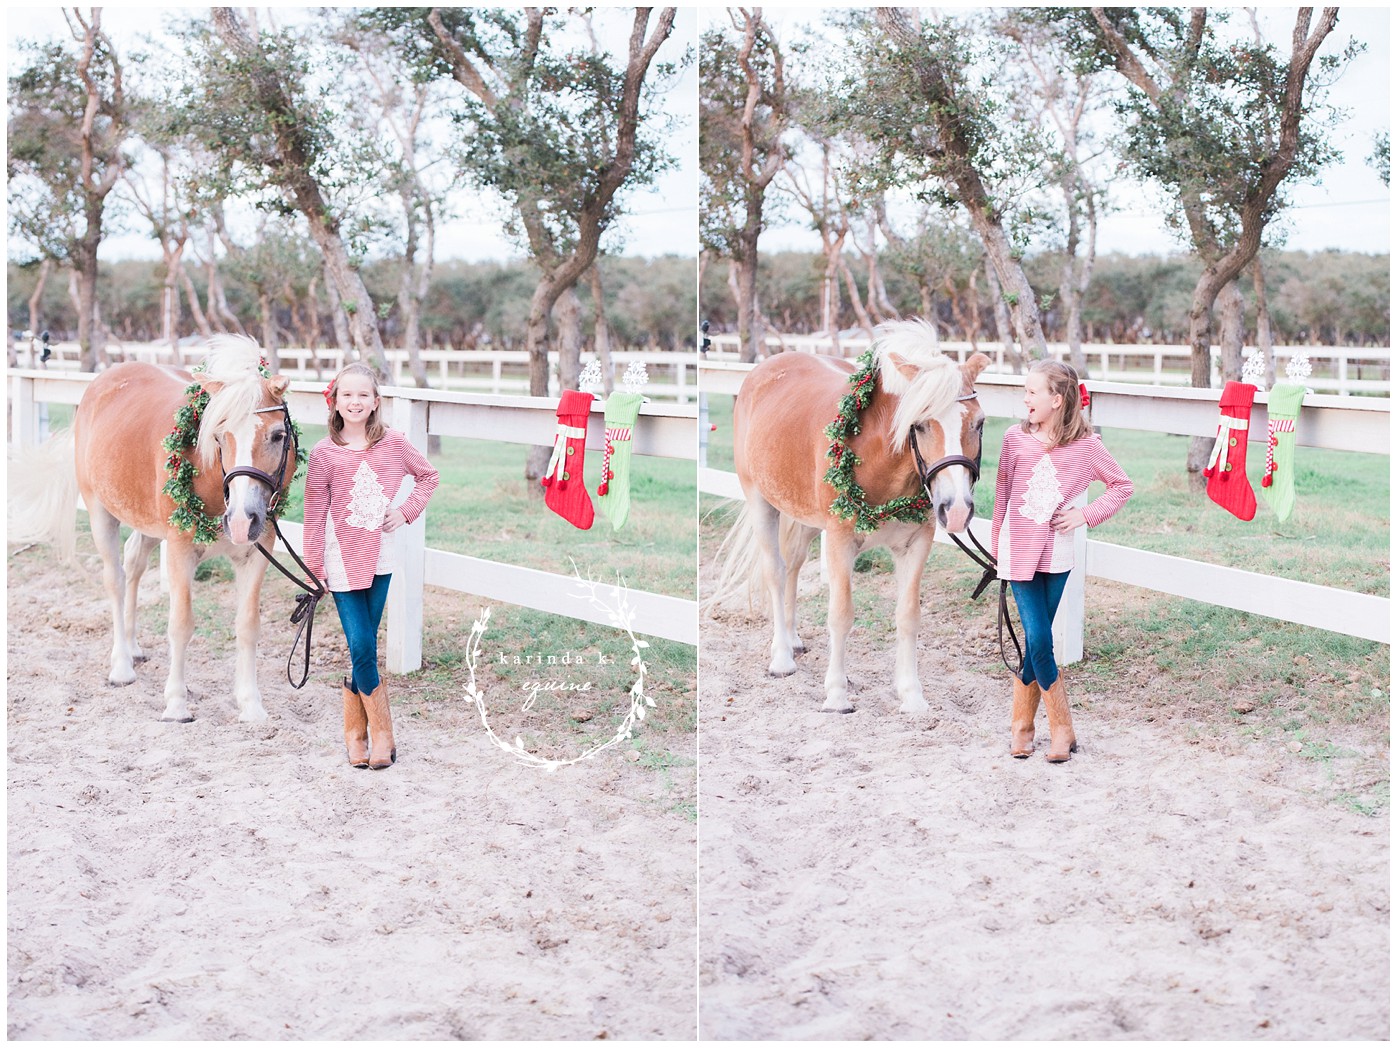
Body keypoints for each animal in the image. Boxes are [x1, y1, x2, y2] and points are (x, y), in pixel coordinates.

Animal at [11, 336, 299, 723]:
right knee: (115, 579)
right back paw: (121, 666)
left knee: (133, 564)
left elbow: (248, 626)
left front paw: (251, 705)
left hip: (146, 523)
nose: (242, 519)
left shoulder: (255, 555)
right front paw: (176, 703)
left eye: (278, 435)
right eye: (220, 436)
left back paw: (132, 648)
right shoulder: (179, 550)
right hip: (101, 513)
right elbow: (180, 624)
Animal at [709, 319, 989, 714]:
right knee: (776, 572)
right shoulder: (841, 540)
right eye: (919, 424)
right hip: (760, 502)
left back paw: (793, 640)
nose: (958, 508)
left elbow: (908, 616)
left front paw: (912, 695)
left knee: (793, 565)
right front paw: (837, 694)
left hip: (806, 519)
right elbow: (841, 615)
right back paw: (782, 657)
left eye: (979, 423)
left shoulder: (915, 545)